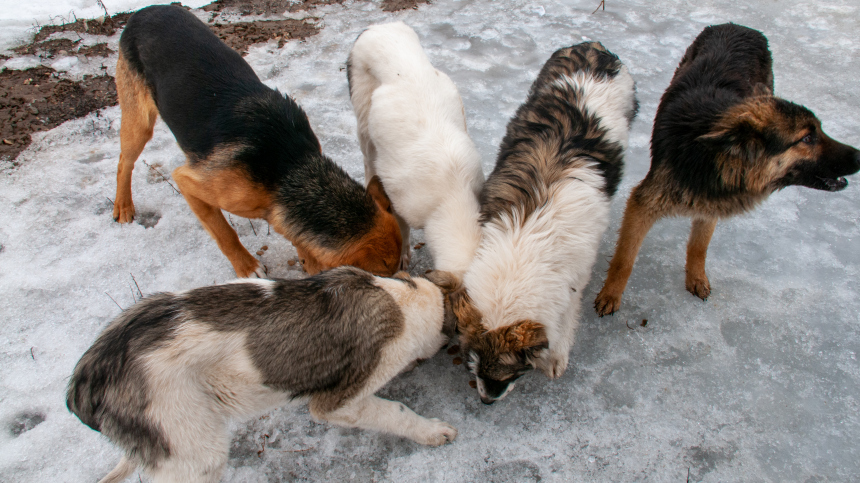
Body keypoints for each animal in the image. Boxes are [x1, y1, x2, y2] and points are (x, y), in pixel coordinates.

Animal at [111, 3, 404, 278]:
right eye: (386, 274)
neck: (290, 169)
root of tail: (145, 11)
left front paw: (306, 258)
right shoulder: (189, 182)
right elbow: (224, 233)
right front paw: (246, 267)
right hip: (139, 122)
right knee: (124, 161)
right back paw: (123, 207)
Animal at [348, 21, 484, 276]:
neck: (454, 194)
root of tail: (384, 27)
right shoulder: (398, 199)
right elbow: (401, 230)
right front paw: (402, 260)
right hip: (363, 120)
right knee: (368, 159)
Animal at [596, 25, 856, 318]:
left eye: (819, 130)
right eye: (807, 138)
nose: (858, 155)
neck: (715, 159)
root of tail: (740, 26)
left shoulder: (712, 202)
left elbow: (699, 247)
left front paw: (696, 278)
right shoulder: (644, 202)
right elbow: (624, 259)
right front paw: (610, 294)